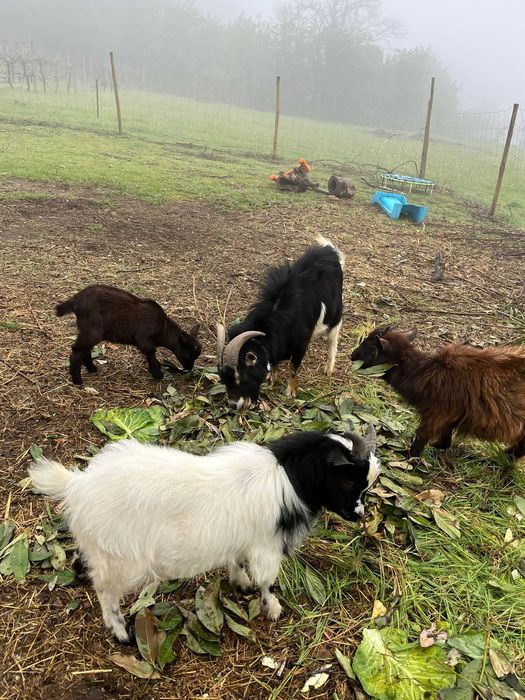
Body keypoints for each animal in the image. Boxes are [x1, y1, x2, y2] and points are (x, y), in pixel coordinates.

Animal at [29, 425, 379, 642]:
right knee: (105, 591)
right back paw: (120, 632)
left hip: (98, 548)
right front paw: (273, 609)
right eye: (349, 480)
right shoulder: (266, 547)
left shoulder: (242, 538)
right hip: (122, 561)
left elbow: (237, 561)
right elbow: (267, 581)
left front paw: (240, 581)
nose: (359, 515)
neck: (290, 477)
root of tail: (78, 485)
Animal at [56, 284, 201, 385]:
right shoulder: (144, 339)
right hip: (93, 330)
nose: (190, 368)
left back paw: (92, 369)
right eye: (189, 354)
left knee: (85, 349)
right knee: (77, 350)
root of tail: (75, 300)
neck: (163, 327)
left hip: (88, 330)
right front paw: (157, 374)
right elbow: (151, 352)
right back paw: (77, 381)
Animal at [217, 237, 344, 408]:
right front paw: (273, 381)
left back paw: (329, 368)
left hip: (335, 312)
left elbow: (293, 366)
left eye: (242, 377)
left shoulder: (301, 343)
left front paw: (291, 391)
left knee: (333, 337)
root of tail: (329, 249)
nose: (234, 404)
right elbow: (275, 363)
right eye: (223, 378)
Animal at [351, 326, 525, 461]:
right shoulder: (451, 415)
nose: (352, 355)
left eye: (370, 346)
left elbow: (421, 437)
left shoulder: (436, 414)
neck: (426, 374)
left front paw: (409, 457)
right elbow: (445, 438)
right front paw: (439, 446)